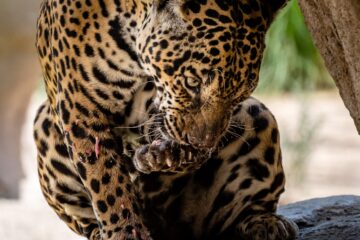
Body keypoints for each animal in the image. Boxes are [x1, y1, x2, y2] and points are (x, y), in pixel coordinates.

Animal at [33, 0, 298, 240]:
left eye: (240, 95)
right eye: (192, 82)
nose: (202, 143)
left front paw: (163, 155)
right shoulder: (81, 107)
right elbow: (104, 179)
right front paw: (125, 231)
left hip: (258, 114)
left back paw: (266, 223)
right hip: (43, 123)